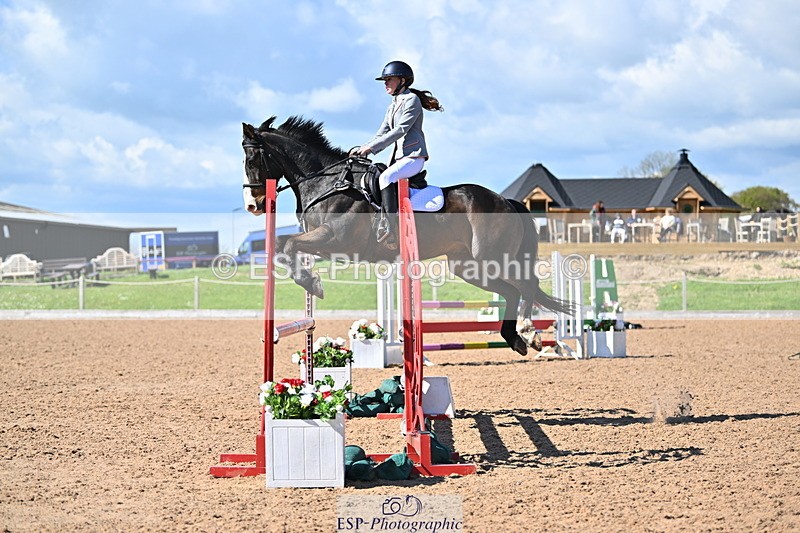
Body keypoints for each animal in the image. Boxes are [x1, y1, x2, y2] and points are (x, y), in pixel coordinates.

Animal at [241, 116, 571, 355]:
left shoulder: (338, 242)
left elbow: (288, 244)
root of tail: (505, 200)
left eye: (251, 160)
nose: (253, 205)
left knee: (527, 285)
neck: (329, 183)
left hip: (491, 258)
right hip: (467, 266)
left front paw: (313, 283)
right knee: (512, 291)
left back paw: (529, 332)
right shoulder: (322, 243)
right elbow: (285, 245)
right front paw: (310, 280)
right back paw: (514, 339)